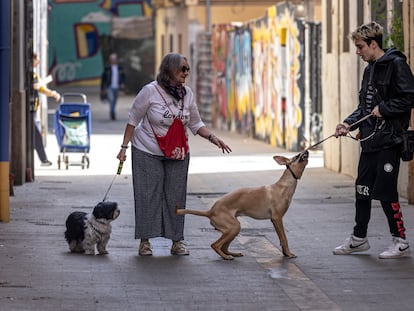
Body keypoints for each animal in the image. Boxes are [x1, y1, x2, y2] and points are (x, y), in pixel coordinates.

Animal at [176, 151, 308, 260]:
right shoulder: (277, 218)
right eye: (297, 156)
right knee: (215, 245)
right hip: (234, 227)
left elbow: (282, 239)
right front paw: (289, 254)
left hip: (232, 229)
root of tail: (210, 211)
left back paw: (232, 253)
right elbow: (284, 238)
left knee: (224, 247)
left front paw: (285, 253)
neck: (284, 186)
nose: (306, 151)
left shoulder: (276, 220)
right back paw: (226, 257)